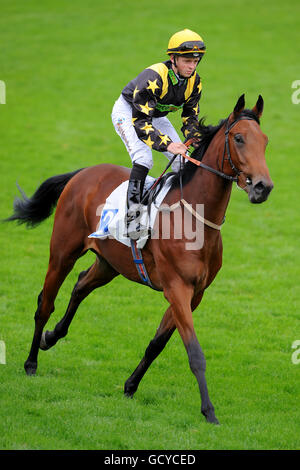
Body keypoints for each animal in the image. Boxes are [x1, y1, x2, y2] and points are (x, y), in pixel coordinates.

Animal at [6, 93, 274, 424]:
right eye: (238, 138)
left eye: (264, 141)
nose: (263, 187)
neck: (195, 218)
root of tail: (82, 173)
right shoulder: (177, 289)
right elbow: (195, 353)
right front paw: (209, 411)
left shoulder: (194, 294)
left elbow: (157, 344)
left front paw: (130, 386)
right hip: (62, 252)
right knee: (45, 302)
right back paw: (31, 362)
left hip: (109, 262)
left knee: (80, 285)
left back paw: (52, 336)